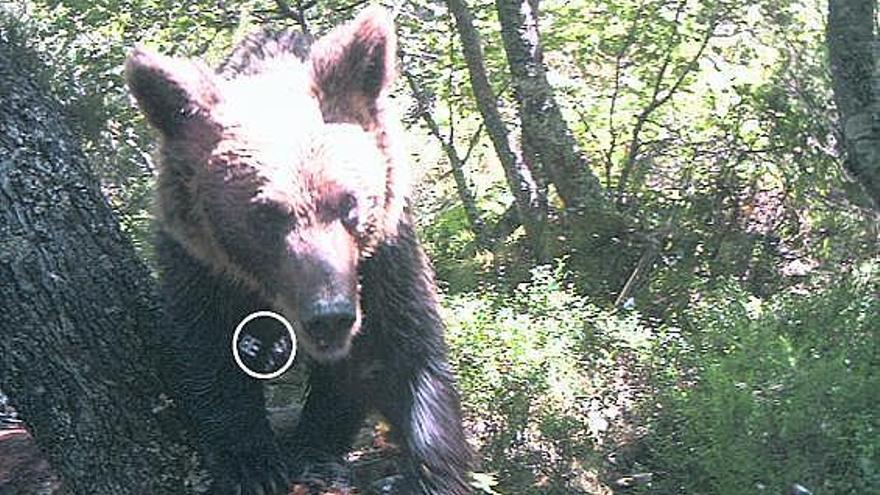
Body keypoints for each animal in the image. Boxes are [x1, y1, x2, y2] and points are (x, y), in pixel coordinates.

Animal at [124, 7, 474, 495]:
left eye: (349, 202)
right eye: (266, 214)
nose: (330, 315)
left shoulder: (384, 258)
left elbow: (398, 354)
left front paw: (429, 470)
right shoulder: (198, 264)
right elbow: (206, 351)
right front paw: (250, 465)